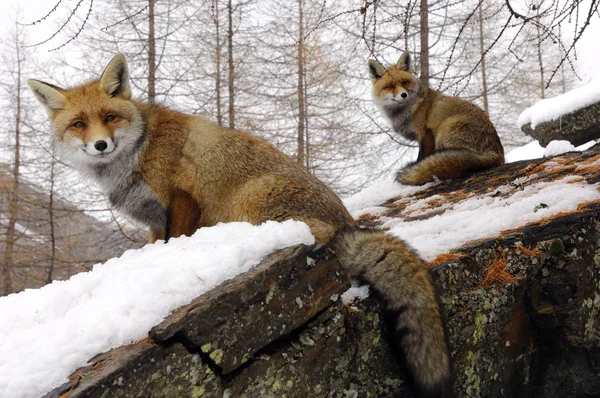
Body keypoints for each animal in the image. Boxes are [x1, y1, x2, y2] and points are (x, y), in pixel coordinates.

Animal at [28, 53, 450, 398]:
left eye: (110, 118)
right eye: (79, 124)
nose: (100, 145)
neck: (136, 156)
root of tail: (348, 224)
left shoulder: (182, 199)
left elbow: (175, 241)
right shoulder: (153, 222)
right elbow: (156, 245)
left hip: (254, 201)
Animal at [368, 50, 504, 186]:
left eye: (404, 82)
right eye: (390, 86)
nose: (404, 95)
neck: (408, 109)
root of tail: (498, 153)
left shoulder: (425, 134)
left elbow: (421, 158)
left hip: (444, 130)